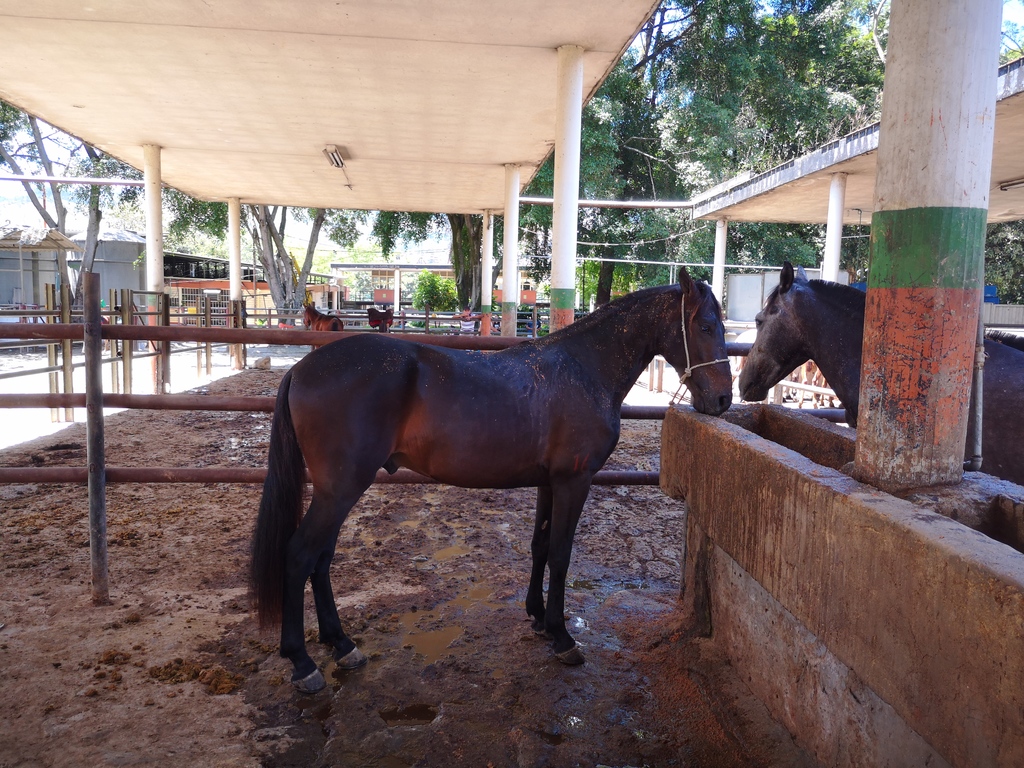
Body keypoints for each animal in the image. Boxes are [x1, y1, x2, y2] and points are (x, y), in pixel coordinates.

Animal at [251, 268, 733, 693]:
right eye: (706, 324)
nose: (723, 399)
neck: (584, 368)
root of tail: (302, 369)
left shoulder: (549, 483)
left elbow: (540, 546)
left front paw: (538, 618)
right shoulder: (574, 481)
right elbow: (561, 555)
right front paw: (562, 636)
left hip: (337, 491)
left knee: (321, 559)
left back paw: (341, 643)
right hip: (340, 489)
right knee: (300, 555)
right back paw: (302, 662)